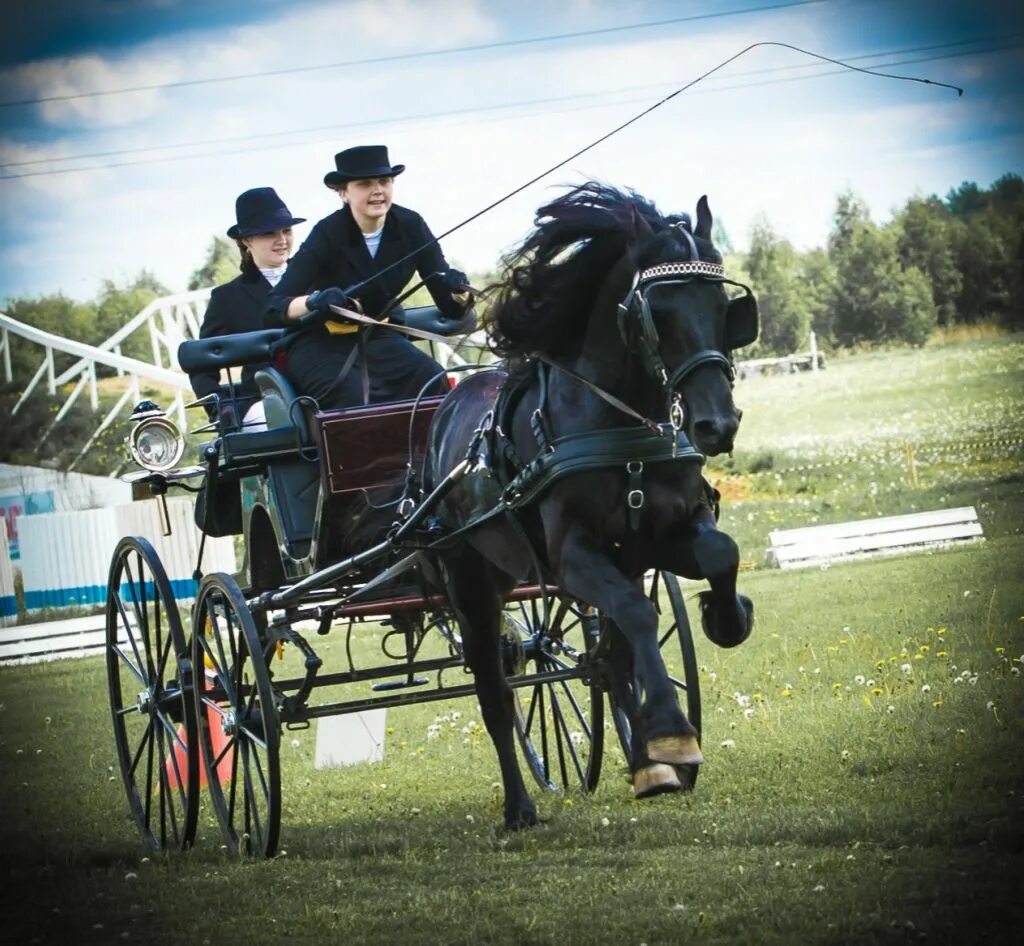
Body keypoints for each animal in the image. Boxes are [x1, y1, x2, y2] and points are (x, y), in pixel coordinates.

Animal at [428, 181, 757, 823]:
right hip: (470, 582)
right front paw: (671, 733)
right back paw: (520, 807)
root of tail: (446, 404)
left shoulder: (660, 536)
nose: (716, 425)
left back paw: (643, 759)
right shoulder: (571, 557)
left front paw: (728, 616)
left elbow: (719, 556)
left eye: (723, 307)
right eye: (659, 313)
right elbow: (636, 614)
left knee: (610, 653)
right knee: (494, 691)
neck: (616, 420)